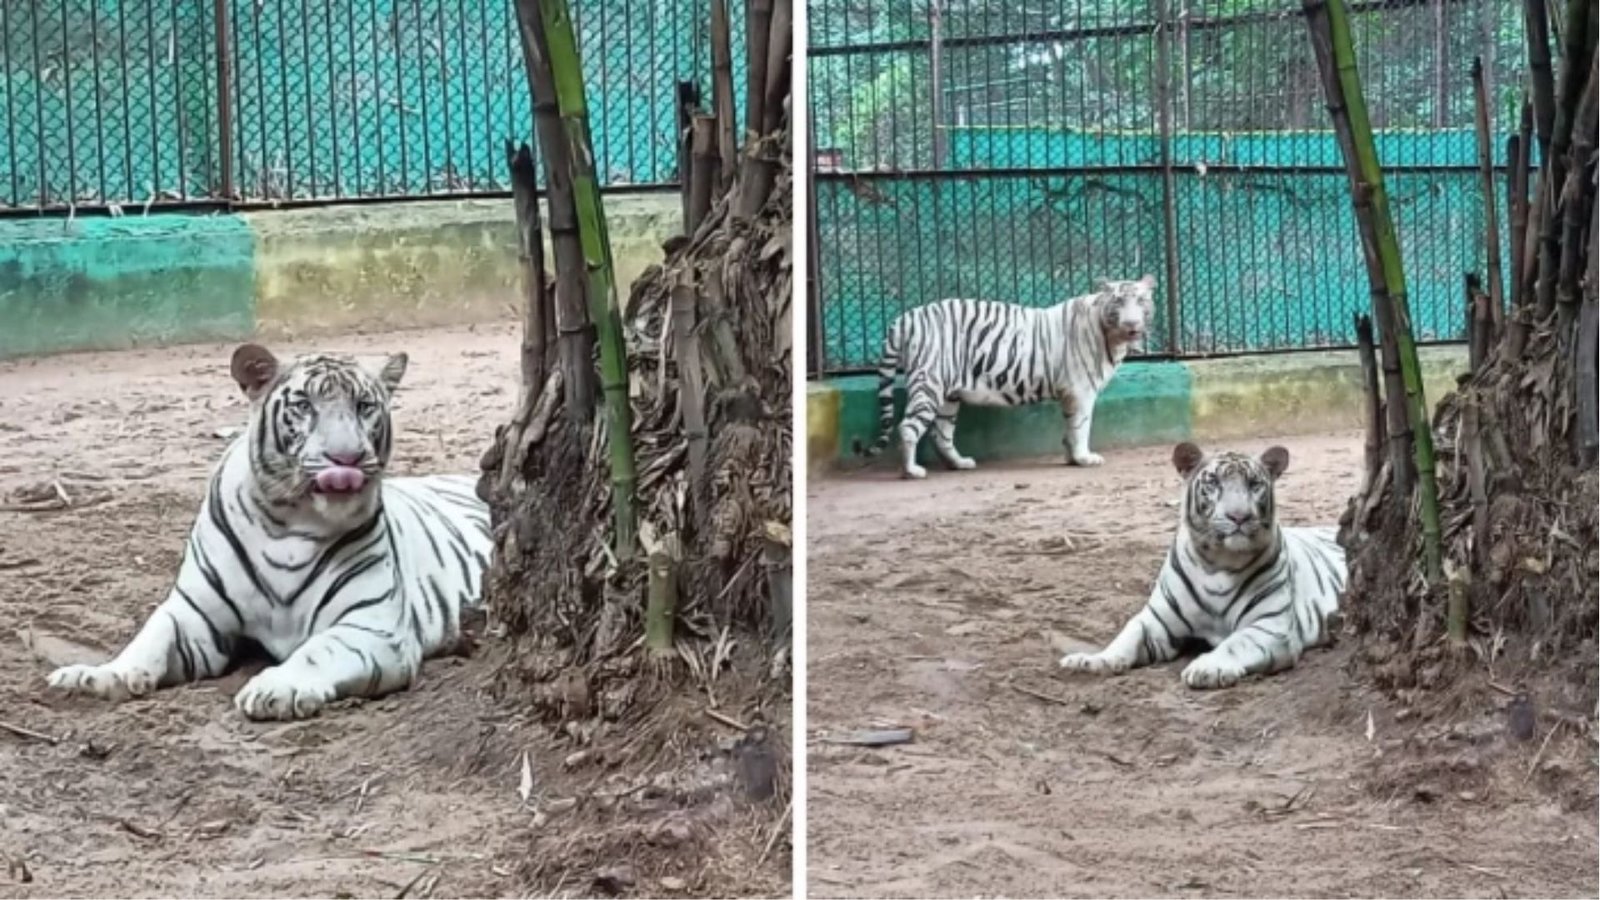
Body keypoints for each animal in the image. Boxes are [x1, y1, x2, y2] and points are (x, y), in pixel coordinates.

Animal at [45, 343, 492, 721]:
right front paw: (100, 676)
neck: (289, 523)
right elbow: (152, 634)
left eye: (364, 406)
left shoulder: (373, 625)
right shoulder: (196, 614)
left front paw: (277, 689)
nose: (345, 458)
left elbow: (319, 650)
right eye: (305, 405)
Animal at [862, 275, 1156, 479]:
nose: (1132, 324)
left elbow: (1070, 427)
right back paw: (911, 471)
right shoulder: (1081, 390)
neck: (1112, 337)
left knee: (941, 433)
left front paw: (1072, 457)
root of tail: (904, 318)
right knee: (908, 427)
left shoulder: (1070, 394)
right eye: (1119, 302)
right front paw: (1084, 458)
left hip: (948, 395)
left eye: (1141, 301)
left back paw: (959, 463)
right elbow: (1081, 426)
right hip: (929, 383)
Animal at [1058, 442, 1346, 690]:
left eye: (1254, 484)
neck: (1219, 561)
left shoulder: (1271, 625)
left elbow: (1236, 642)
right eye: (1214, 482)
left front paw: (1208, 668)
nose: (1239, 516)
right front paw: (1091, 661)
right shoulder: (1157, 620)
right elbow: (1128, 634)